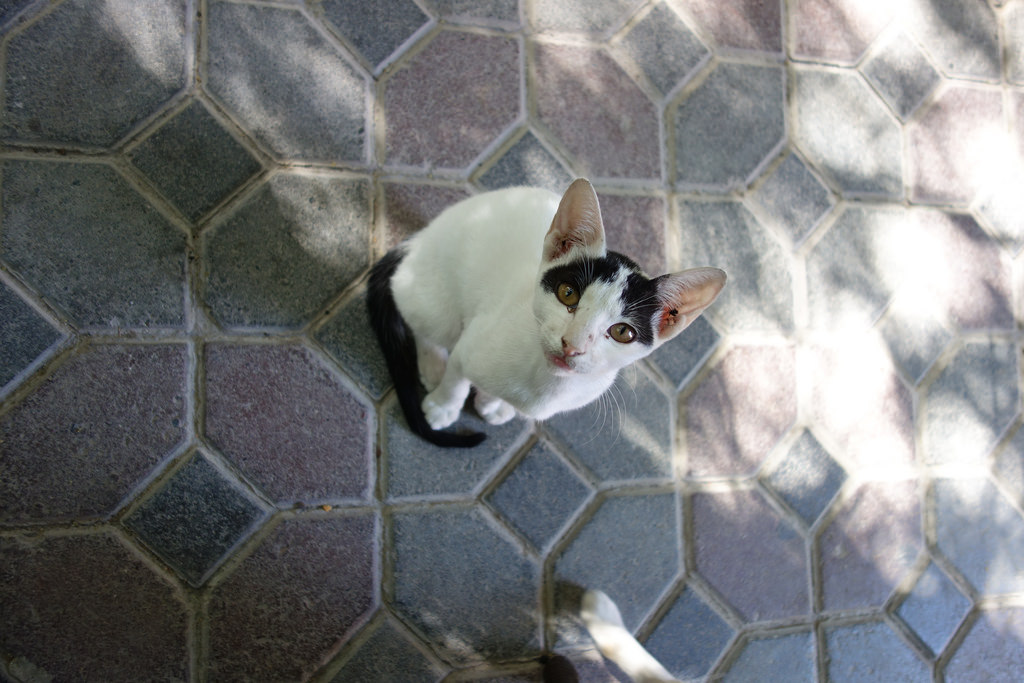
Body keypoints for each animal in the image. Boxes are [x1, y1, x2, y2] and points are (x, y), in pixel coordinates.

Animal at [364, 178, 724, 448]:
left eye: (623, 332)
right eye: (568, 293)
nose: (572, 346)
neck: (543, 383)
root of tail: (418, 240)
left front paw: (493, 404)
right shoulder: (472, 345)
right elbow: (457, 378)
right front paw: (443, 406)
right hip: (435, 298)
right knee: (422, 320)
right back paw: (433, 365)